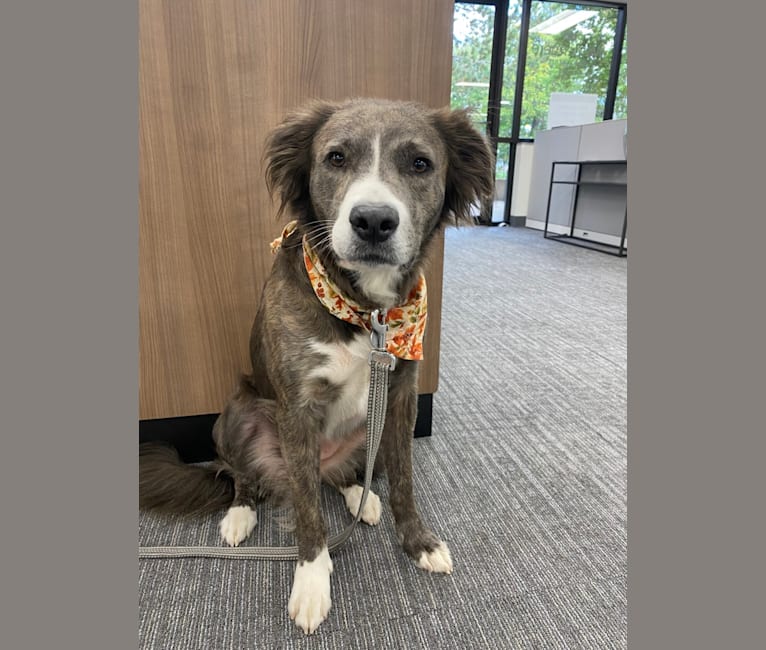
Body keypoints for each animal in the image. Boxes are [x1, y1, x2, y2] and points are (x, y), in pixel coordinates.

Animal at [140, 97, 496, 632]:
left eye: (420, 164)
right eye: (336, 158)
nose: (373, 221)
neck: (365, 310)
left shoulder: (402, 397)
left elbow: (405, 484)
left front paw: (418, 543)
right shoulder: (298, 408)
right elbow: (309, 512)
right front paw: (312, 580)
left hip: (368, 432)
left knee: (346, 476)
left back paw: (359, 496)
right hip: (237, 414)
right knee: (245, 477)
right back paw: (241, 515)